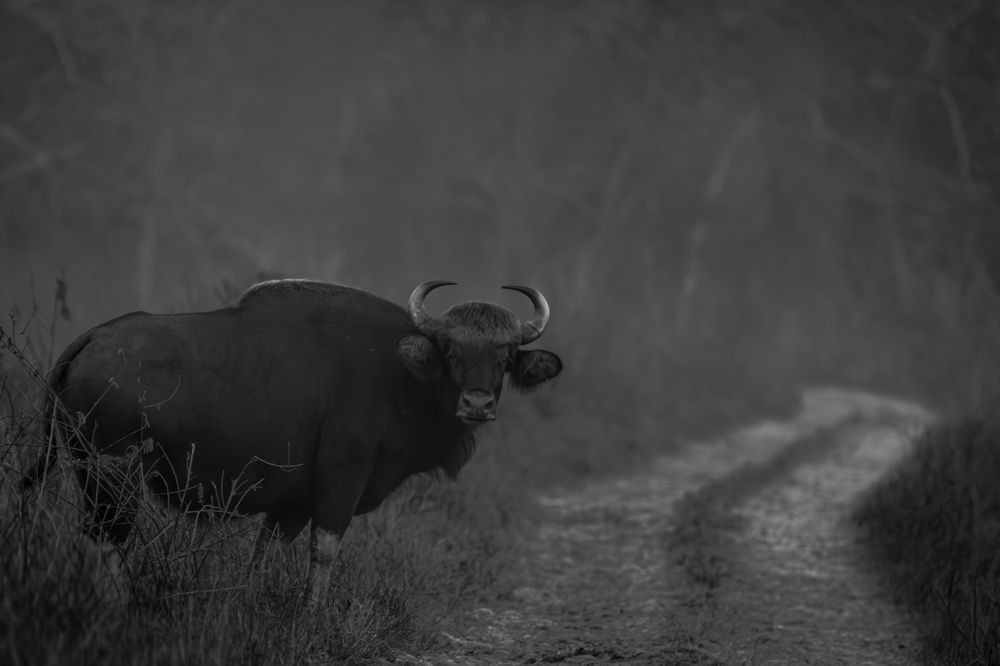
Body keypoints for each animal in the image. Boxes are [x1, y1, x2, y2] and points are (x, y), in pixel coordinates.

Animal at [21, 279, 562, 605]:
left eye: (505, 356)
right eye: (450, 351)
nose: (477, 403)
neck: (401, 374)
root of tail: (93, 339)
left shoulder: (292, 502)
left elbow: (264, 554)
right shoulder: (341, 481)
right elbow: (324, 552)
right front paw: (313, 614)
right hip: (111, 478)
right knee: (106, 541)